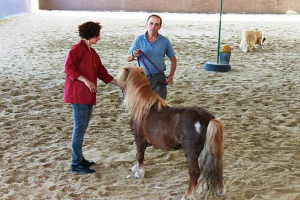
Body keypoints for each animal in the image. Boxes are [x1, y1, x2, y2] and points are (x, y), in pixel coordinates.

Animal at [117, 66, 225, 199]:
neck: (143, 108)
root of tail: (208, 119)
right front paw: (135, 168)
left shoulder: (139, 140)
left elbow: (139, 156)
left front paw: (139, 173)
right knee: (215, 168)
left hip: (191, 153)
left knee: (195, 172)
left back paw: (187, 195)